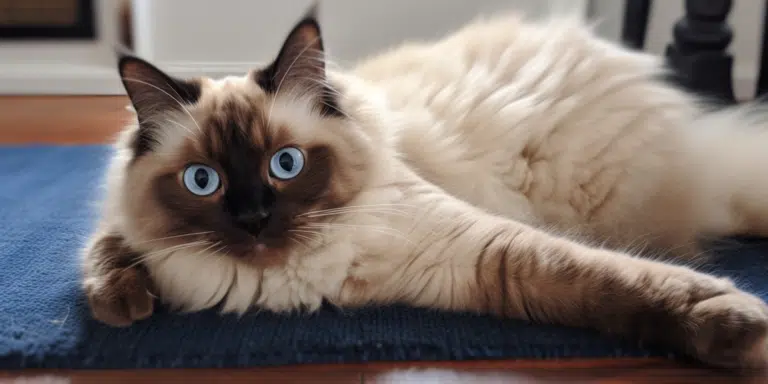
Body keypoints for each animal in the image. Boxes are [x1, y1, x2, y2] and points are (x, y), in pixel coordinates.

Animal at [81, 4, 768, 368]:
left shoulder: (482, 250)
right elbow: (106, 252)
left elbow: (615, 280)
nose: (253, 219)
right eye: (204, 180)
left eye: (286, 164)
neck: (302, 274)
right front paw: (124, 304)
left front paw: (739, 329)